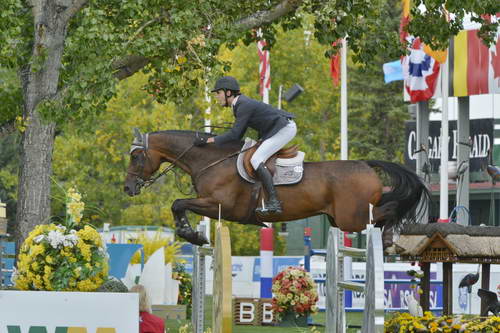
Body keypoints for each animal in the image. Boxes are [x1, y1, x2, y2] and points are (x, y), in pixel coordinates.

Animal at [124, 128, 430, 245]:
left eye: (136, 156)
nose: (128, 188)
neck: (211, 160)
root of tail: (365, 165)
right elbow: (178, 205)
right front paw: (192, 234)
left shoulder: (220, 204)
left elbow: (178, 203)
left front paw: (193, 235)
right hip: (340, 218)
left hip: (350, 218)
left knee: (389, 209)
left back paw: (389, 238)